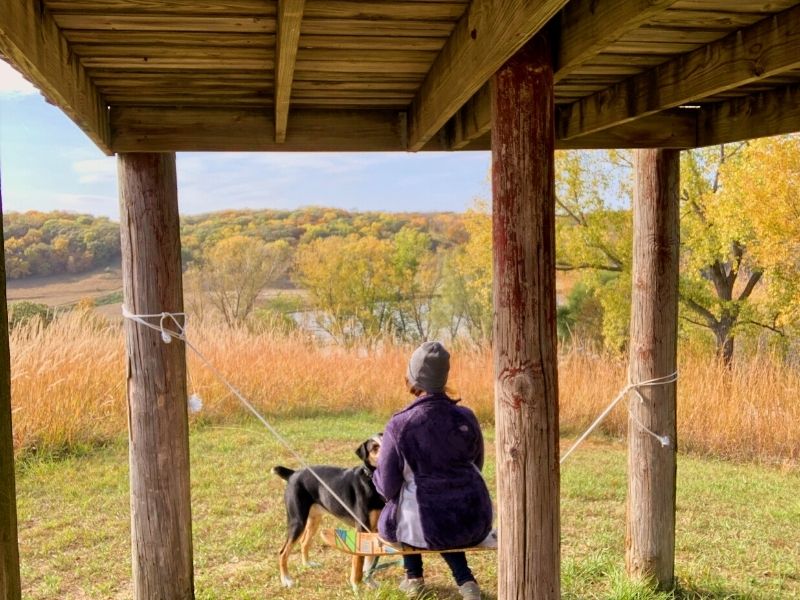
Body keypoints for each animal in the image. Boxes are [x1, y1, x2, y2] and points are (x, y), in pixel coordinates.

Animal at [274, 434, 382, 588]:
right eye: (374, 447)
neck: (371, 479)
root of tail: (293, 474)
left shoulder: (375, 530)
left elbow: (370, 562)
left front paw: (371, 584)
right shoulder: (362, 528)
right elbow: (359, 562)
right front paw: (356, 585)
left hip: (314, 520)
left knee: (304, 542)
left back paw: (308, 564)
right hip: (297, 522)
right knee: (282, 552)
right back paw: (286, 580)